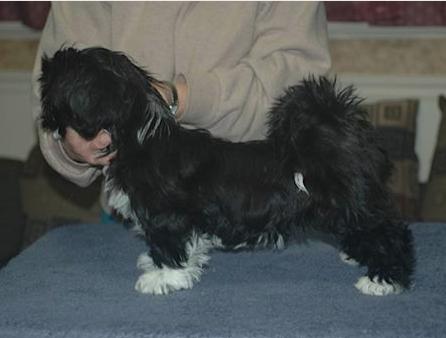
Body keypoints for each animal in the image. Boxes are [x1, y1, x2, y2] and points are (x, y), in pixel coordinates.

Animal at [38, 47, 414, 296]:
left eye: (53, 79)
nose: (44, 69)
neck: (140, 134)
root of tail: (342, 131)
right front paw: (180, 267)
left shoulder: (166, 216)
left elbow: (167, 243)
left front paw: (164, 277)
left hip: (349, 206)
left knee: (389, 233)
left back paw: (384, 279)